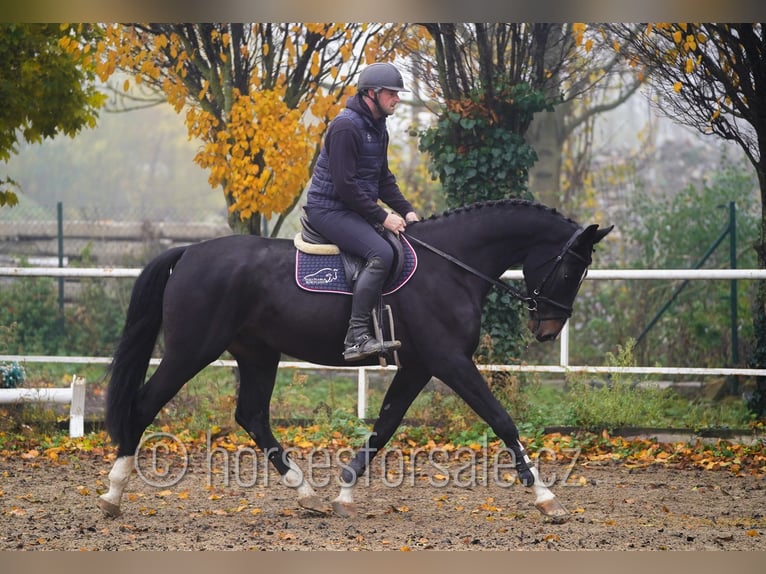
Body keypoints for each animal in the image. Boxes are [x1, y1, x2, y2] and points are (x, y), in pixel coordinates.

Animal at [98, 198, 612, 522]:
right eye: (571, 267)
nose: (548, 330)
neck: (451, 266)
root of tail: (189, 253)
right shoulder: (449, 360)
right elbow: (501, 420)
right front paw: (546, 497)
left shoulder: (419, 365)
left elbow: (384, 427)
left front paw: (344, 493)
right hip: (192, 350)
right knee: (144, 406)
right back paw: (113, 493)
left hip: (258, 354)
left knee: (252, 416)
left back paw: (307, 494)